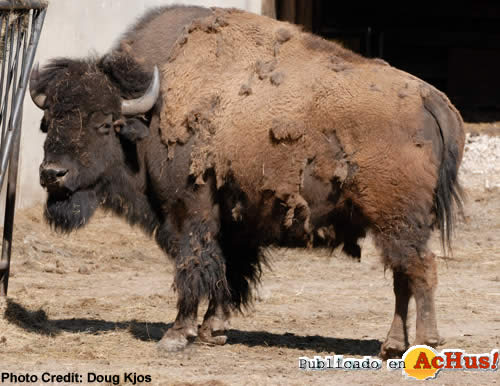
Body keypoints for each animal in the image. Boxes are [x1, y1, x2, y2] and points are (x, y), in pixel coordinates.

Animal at [28, 5, 464, 358]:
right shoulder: (231, 222)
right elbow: (225, 273)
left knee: (420, 271)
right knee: (403, 277)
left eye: (104, 124)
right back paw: (392, 345)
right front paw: (213, 331)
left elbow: (193, 266)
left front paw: (176, 335)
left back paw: (425, 343)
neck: (150, 113)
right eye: (47, 121)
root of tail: (432, 99)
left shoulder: (188, 211)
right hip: (396, 225)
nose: (52, 174)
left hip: (396, 219)